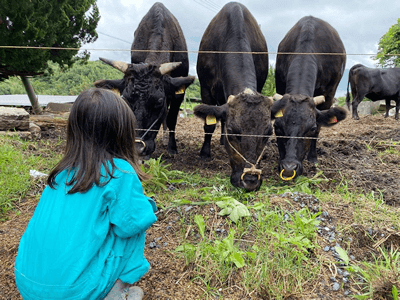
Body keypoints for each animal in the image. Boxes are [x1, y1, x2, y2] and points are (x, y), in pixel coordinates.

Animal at [94, 2, 194, 158]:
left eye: (159, 101)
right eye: (125, 99)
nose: (137, 148)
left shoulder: (178, 93)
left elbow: (172, 118)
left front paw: (172, 148)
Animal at [194, 2, 272, 191]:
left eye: (268, 133)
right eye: (232, 132)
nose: (250, 181)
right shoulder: (205, 89)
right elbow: (209, 125)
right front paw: (204, 153)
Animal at [272, 16, 346, 179]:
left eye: (311, 128)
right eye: (277, 127)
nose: (289, 168)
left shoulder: (329, 95)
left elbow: (319, 129)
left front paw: (313, 158)